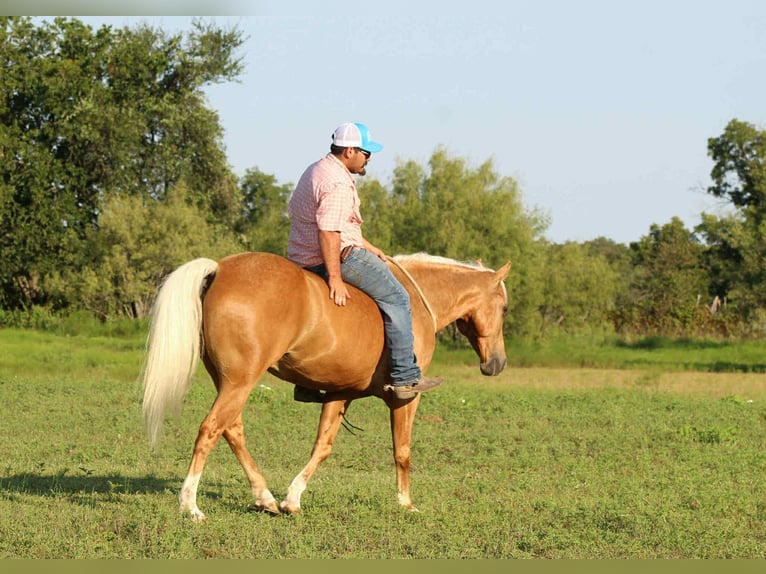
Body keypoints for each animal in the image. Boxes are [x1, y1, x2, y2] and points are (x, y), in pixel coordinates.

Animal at [141, 251, 510, 520]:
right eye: (505, 308)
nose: (497, 363)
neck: (417, 302)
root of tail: (220, 269)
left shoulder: (339, 393)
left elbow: (322, 447)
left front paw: (292, 499)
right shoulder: (406, 398)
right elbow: (402, 451)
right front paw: (406, 503)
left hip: (230, 382)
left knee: (232, 430)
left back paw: (265, 498)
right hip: (240, 382)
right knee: (210, 430)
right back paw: (190, 505)